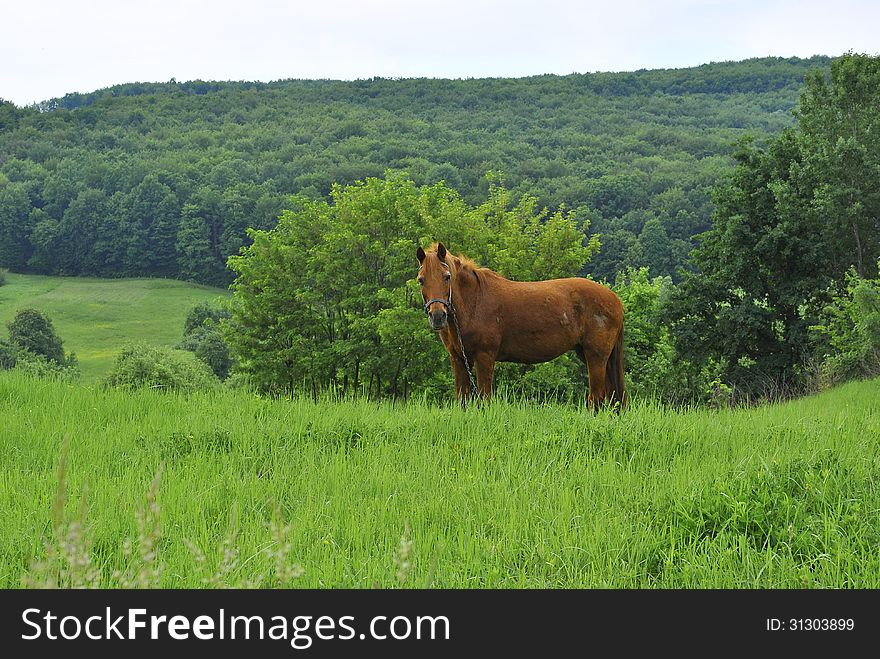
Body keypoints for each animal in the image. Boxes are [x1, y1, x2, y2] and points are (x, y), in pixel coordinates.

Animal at [414, 242, 624, 408]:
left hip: (596, 356)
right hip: (591, 355)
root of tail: (614, 298)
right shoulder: (458, 360)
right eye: (421, 280)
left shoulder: (484, 358)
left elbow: (484, 399)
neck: (475, 301)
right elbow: (462, 400)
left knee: (596, 398)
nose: (438, 316)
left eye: (447, 277)